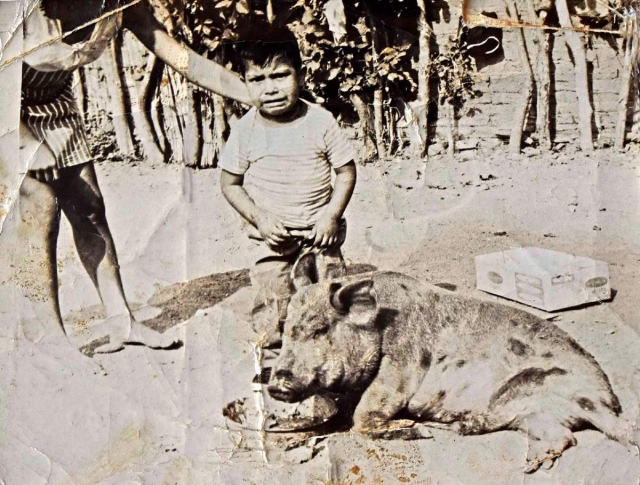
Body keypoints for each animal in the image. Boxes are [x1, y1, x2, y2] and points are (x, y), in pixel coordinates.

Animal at [266, 251, 636, 470]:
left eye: (319, 329)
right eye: (286, 328)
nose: (276, 383)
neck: (379, 326)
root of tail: (607, 403)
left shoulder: (400, 369)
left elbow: (363, 417)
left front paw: (410, 426)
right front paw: (284, 430)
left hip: (539, 385)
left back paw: (442, 427)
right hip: (530, 412)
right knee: (562, 436)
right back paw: (530, 464)